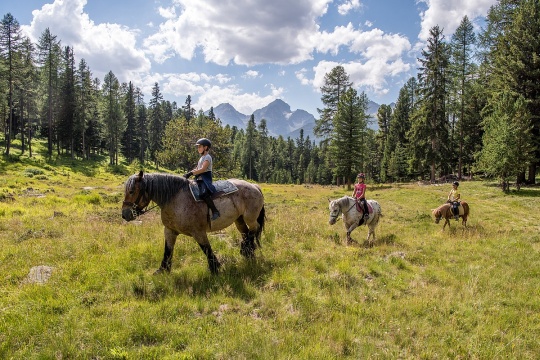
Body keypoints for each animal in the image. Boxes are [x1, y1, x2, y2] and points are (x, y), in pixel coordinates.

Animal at [122, 171, 266, 272]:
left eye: (132, 191)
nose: (125, 215)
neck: (176, 199)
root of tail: (254, 186)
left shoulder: (198, 232)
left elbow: (206, 249)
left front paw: (215, 268)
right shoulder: (169, 231)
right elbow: (167, 250)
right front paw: (163, 270)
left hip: (250, 217)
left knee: (255, 228)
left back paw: (246, 249)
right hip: (239, 220)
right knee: (246, 233)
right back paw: (248, 251)